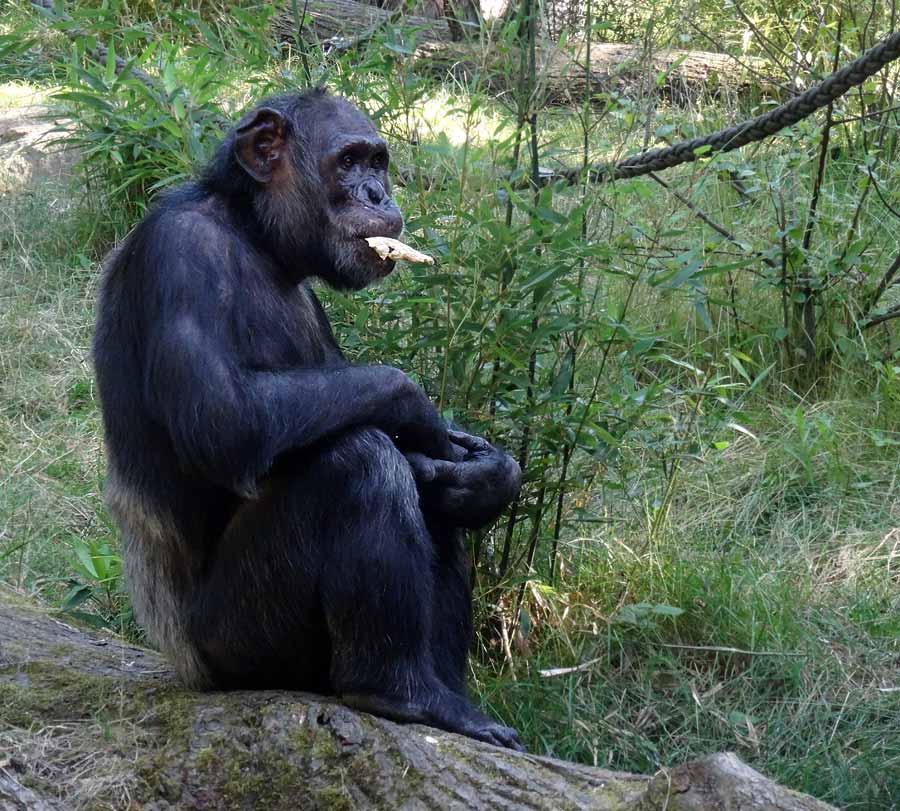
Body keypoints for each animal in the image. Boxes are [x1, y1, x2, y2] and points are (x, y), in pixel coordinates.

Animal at [89, 87, 520, 748]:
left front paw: (488, 475)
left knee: (426, 497)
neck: (255, 235)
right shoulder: (179, 255)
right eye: (348, 163)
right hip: (241, 643)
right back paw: (401, 691)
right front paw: (415, 404)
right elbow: (225, 419)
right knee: (356, 463)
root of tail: (186, 670)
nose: (377, 195)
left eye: (377, 163)